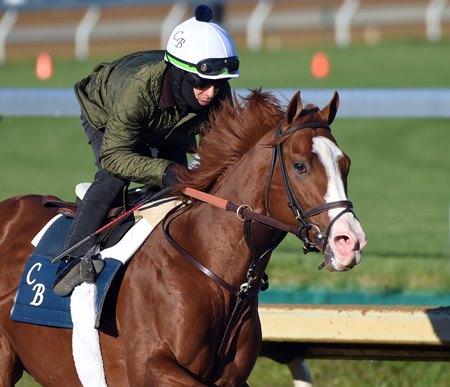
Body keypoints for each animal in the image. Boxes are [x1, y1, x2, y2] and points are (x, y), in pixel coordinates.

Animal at [0, 88, 366, 387]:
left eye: (346, 164)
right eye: (300, 165)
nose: (349, 241)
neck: (209, 267)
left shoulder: (230, 378)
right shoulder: (151, 369)